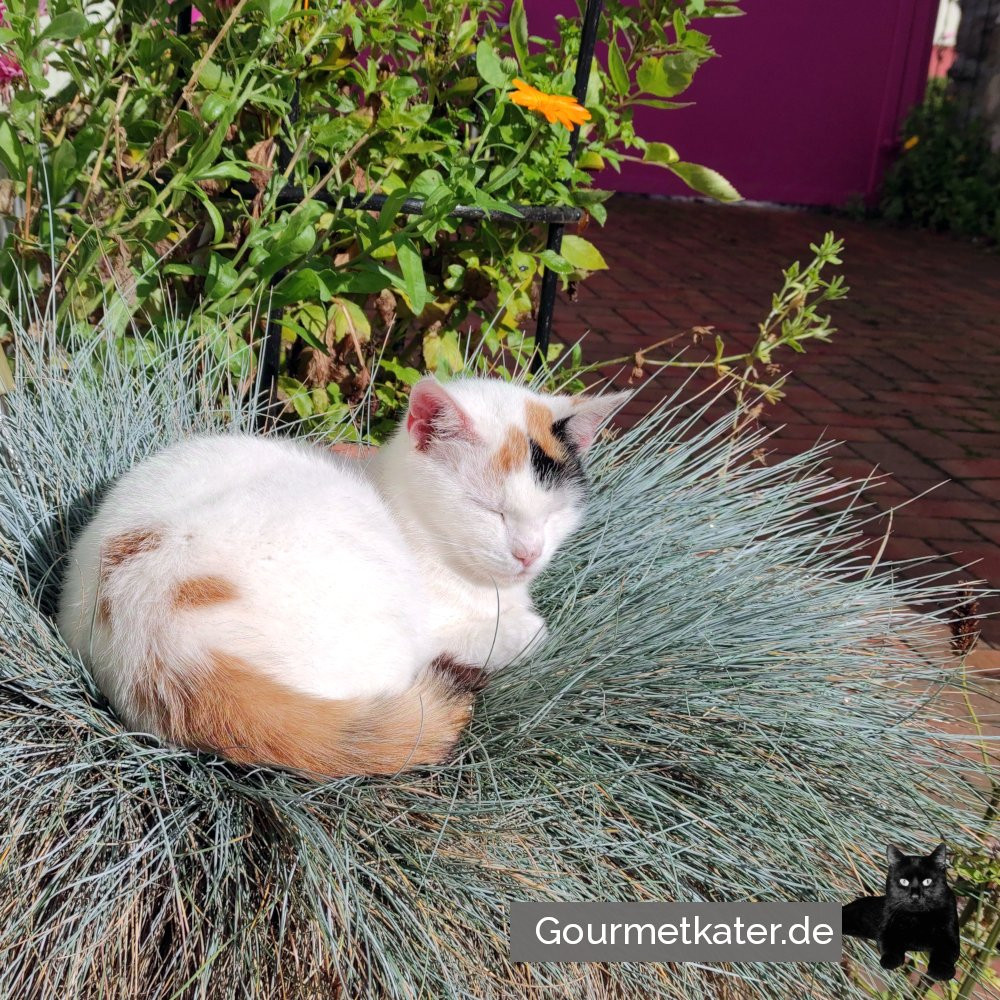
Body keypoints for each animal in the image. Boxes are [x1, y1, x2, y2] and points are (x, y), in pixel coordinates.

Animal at [56, 376, 624, 780]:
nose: (528, 553)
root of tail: (155, 644)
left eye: (553, 513)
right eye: (489, 510)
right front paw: (526, 627)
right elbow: (531, 633)